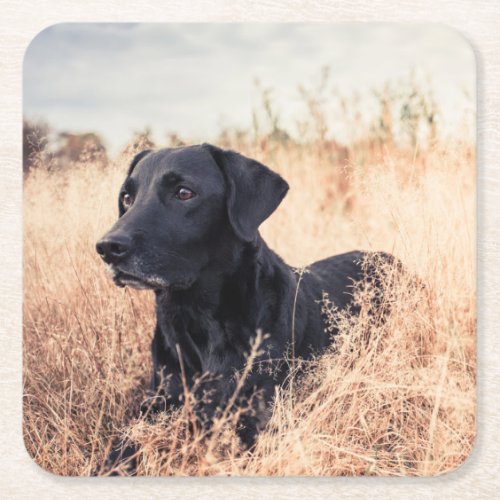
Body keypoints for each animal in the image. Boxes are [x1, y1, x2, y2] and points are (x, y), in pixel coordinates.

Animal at [95, 144, 392, 472]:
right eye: (126, 197)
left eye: (184, 192)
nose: (108, 248)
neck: (199, 321)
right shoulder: (158, 407)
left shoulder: (260, 422)